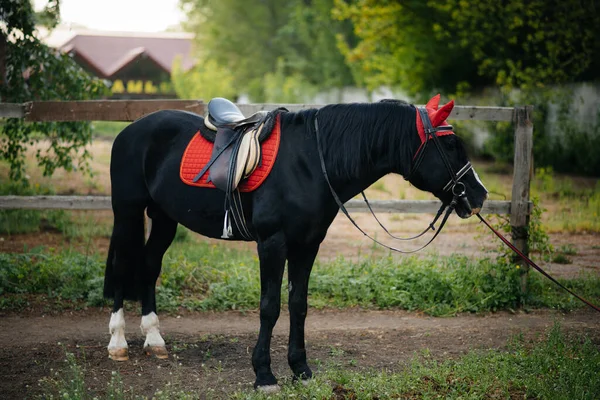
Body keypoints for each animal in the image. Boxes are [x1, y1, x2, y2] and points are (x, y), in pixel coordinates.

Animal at [103, 96, 488, 390]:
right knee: (122, 266)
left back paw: (154, 340)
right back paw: (118, 343)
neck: (311, 162)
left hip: (164, 218)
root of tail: (130, 130)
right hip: (127, 212)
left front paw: (300, 368)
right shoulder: (272, 244)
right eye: (450, 144)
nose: (479, 194)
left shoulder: (307, 245)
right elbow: (270, 306)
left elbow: (298, 304)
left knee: (149, 267)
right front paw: (264, 374)